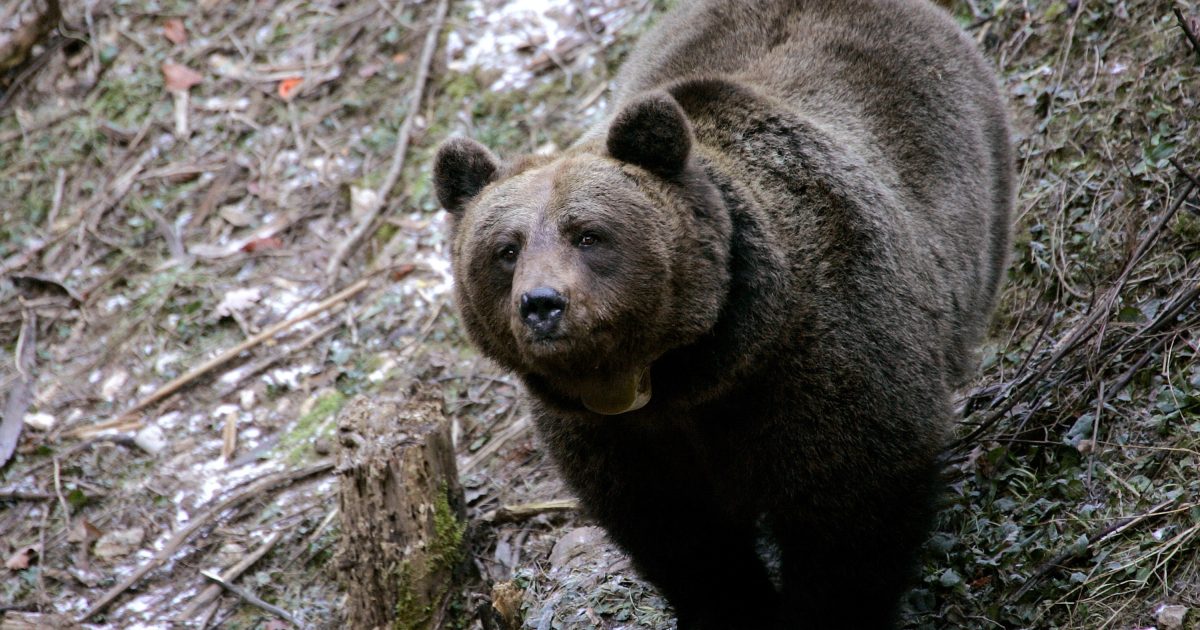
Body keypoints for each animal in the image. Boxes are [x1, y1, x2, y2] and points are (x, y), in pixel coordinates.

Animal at [432, 0, 1012, 624]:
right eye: (506, 249)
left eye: (588, 234)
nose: (541, 304)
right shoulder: (612, 439)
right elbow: (685, 540)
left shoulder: (829, 358)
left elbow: (851, 514)